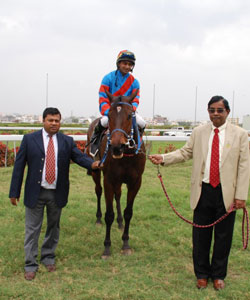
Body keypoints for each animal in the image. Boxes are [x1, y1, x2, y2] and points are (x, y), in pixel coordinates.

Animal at [86, 89, 146, 258]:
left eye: (129, 115)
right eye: (110, 115)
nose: (117, 146)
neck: (126, 155)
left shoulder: (135, 182)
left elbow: (128, 212)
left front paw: (125, 243)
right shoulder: (109, 180)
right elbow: (109, 214)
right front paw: (107, 247)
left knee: (118, 196)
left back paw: (119, 222)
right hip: (96, 171)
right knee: (98, 191)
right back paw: (98, 219)